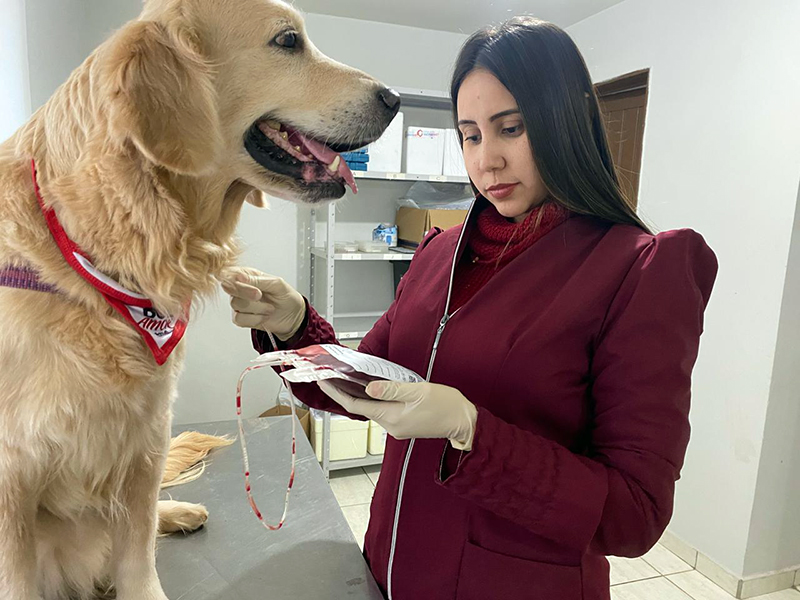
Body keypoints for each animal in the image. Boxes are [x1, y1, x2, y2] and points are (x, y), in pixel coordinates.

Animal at [0, 0, 398, 596]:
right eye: (288, 40)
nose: (395, 99)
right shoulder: (13, 481)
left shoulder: (145, 433)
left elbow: (137, 553)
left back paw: (178, 512)